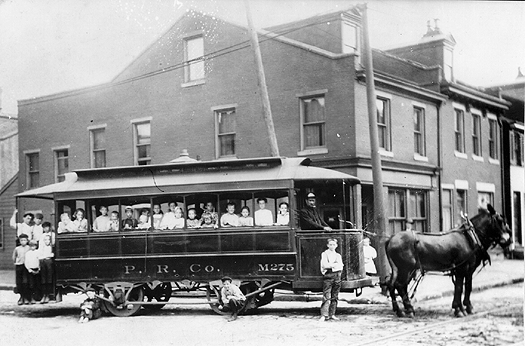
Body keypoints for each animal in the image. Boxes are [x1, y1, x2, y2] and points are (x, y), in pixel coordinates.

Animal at [382, 204, 510, 318]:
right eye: (500, 220)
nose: (508, 240)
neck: (469, 237)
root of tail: (391, 238)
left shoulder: (469, 270)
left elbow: (467, 287)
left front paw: (467, 307)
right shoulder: (461, 268)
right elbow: (459, 288)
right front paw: (459, 309)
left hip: (404, 269)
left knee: (393, 285)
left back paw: (400, 310)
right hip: (406, 268)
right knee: (399, 285)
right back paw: (408, 310)